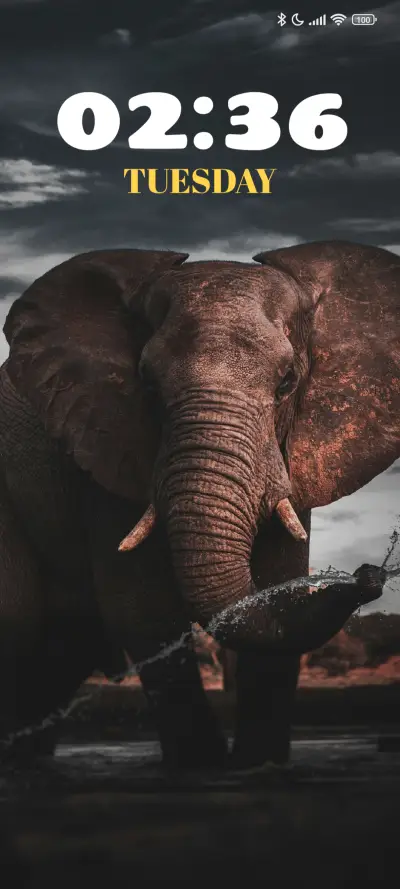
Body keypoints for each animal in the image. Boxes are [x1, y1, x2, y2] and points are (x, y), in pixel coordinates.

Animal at [0, 240, 398, 769]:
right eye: (146, 382)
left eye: (288, 381)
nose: (368, 575)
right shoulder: (106, 446)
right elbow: (141, 608)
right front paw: (203, 768)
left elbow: (279, 583)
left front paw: (257, 765)